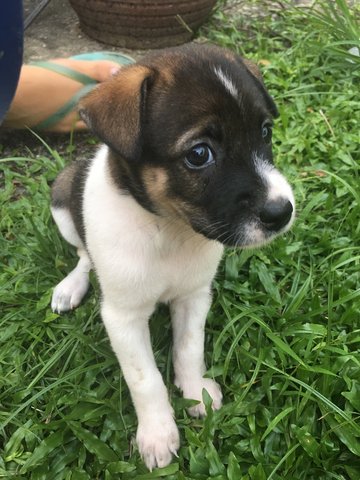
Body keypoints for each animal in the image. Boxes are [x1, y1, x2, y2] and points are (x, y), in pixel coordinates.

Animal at [50, 44, 296, 468]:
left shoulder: (194, 296)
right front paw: (156, 433)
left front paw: (196, 393)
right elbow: (144, 378)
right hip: (62, 202)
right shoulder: (123, 318)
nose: (282, 212)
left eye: (264, 132)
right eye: (199, 154)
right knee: (83, 254)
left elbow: (189, 348)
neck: (169, 231)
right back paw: (72, 285)